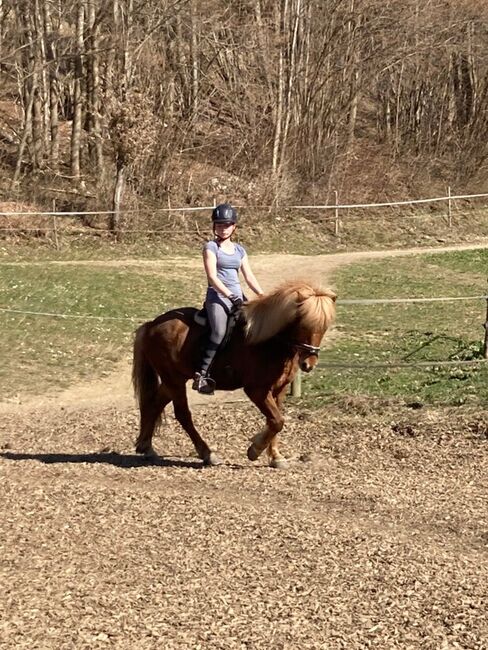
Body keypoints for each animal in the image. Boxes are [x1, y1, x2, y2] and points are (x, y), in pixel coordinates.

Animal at [132, 278, 336, 466]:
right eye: (303, 324)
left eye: (325, 326)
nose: (309, 363)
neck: (270, 342)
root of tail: (152, 325)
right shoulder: (257, 390)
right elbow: (277, 421)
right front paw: (255, 449)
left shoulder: (280, 389)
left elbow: (275, 420)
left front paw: (275, 456)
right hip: (173, 380)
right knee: (182, 414)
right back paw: (207, 454)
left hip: (173, 379)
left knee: (154, 403)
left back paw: (146, 447)